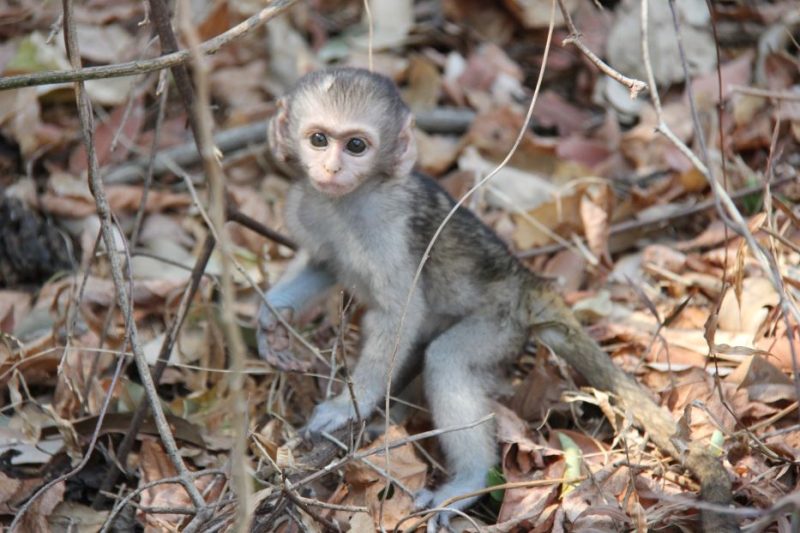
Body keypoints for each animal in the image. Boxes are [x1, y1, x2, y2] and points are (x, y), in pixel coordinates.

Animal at [260, 66, 736, 528]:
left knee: (447, 359)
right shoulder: (304, 205)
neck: (350, 201)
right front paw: (268, 323)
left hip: (501, 323)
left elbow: (400, 314)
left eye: (356, 145)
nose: (331, 168)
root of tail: (522, 279)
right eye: (319, 139)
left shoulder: (387, 229)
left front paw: (350, 403)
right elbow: (321, 265)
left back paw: (469, 480)